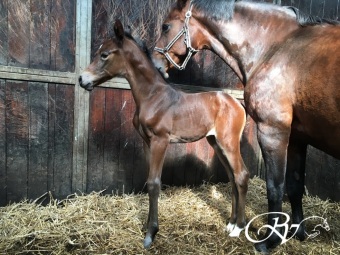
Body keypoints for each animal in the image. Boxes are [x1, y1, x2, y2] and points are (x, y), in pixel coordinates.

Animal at [79, 19, 250, 249]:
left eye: (104, 54)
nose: (82, 79)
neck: (153, 96)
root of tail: (238, 104)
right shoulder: (147, 141)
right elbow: (149, 180)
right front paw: (147, 226)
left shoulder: (160, 141)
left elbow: (154, 183)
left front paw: (151, 233)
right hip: (215, 142)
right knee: (232, 177)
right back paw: (230, 223)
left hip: (228, 143)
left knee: (241, 175)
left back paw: (239, 228)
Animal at [153, 0, 340, 252]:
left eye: (165, 26)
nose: (154, 63)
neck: (278, 46)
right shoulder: (297, 138)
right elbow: (294, 185)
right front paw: (298, 232)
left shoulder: (272, 131)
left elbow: (275, 187)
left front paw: (270, 240)